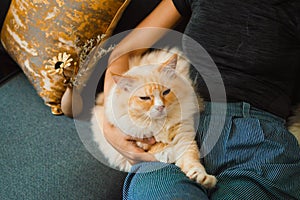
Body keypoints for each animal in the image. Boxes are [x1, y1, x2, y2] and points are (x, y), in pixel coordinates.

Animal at [90, 47, 217, 188]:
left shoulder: (184, 137)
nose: (160, 107)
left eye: (166, 92)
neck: (160, 124)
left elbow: (192, 161)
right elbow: (152, 145)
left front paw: (202, 178)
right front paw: (165, 152)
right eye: (145, 98)